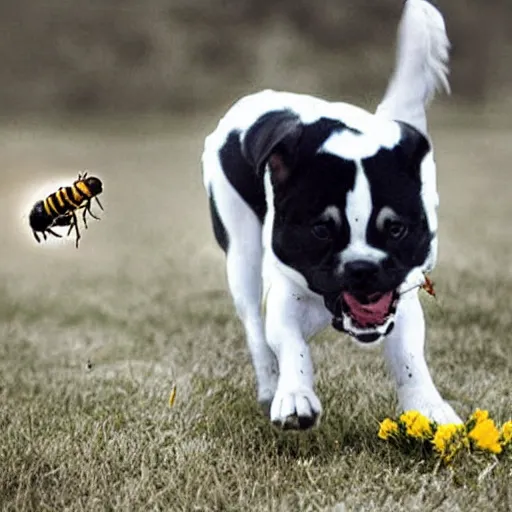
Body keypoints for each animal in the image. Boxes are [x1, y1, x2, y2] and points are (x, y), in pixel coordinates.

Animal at [202, 0, 462, 430]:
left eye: (395, 228)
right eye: (321, 229)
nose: (362, 268)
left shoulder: (402, 290)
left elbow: (409, 356)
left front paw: (429, 407)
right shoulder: (284, 293)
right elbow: (290, 343)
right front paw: (293, 396)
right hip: (240, 253)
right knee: (254, 325)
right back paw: (270, 386)